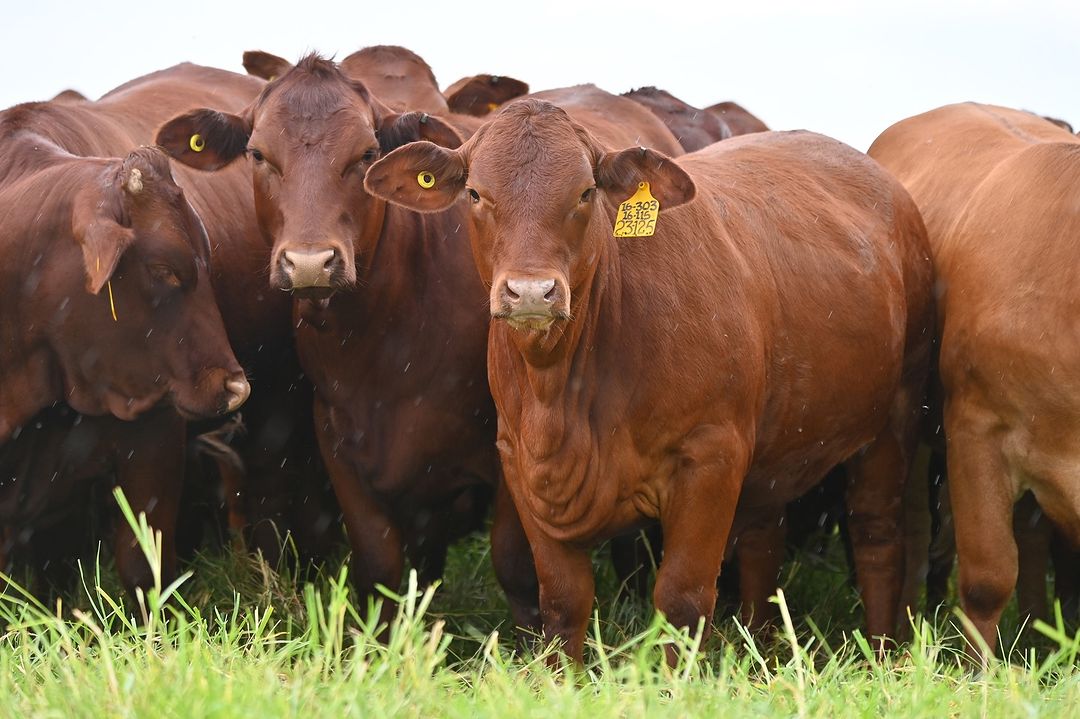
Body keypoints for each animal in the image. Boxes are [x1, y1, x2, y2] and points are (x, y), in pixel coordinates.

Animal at [364, 98, 934, 664]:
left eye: (585, 192)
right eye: (476, 193)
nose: (530, 292)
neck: (563, 396)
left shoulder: (712, 457)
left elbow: (682, 599)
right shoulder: (521, 463)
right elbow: (563, 601)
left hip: (895, 414)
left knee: (878, 535)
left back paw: (882, 651)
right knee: (762, 540)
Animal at [868, 102, 1080, 659]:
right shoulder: (975, 428)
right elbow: (988, 576)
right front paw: (976, 670)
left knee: (1030, 538)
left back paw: (1034, 637)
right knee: (917, 531)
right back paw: (905, 636)